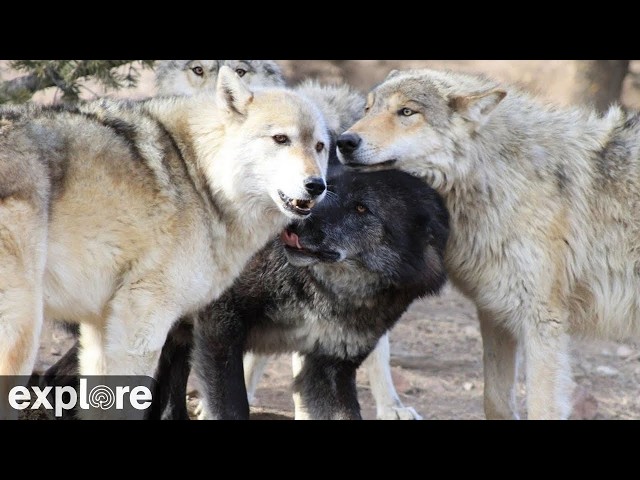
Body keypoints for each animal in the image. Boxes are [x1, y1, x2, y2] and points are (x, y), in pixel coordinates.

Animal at [0, 66, 329, 418]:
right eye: (281, 139)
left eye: (320, 146)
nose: (317, 185)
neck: (200, 177)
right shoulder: (142, 321)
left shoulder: (101, 324)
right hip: (24, 331)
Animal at [152, 168, 449, 420]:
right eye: (329, 191)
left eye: (362, 207)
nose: (291, 222)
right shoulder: (219, 324)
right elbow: (232, 407)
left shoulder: (328, 366)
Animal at [336, 67, 640, 419]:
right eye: (368, 108)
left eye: (407, 112)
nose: (344, 141)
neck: (493, 178)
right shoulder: (495, 312)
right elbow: (494, 399)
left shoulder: (542, 321)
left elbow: (540, 406)